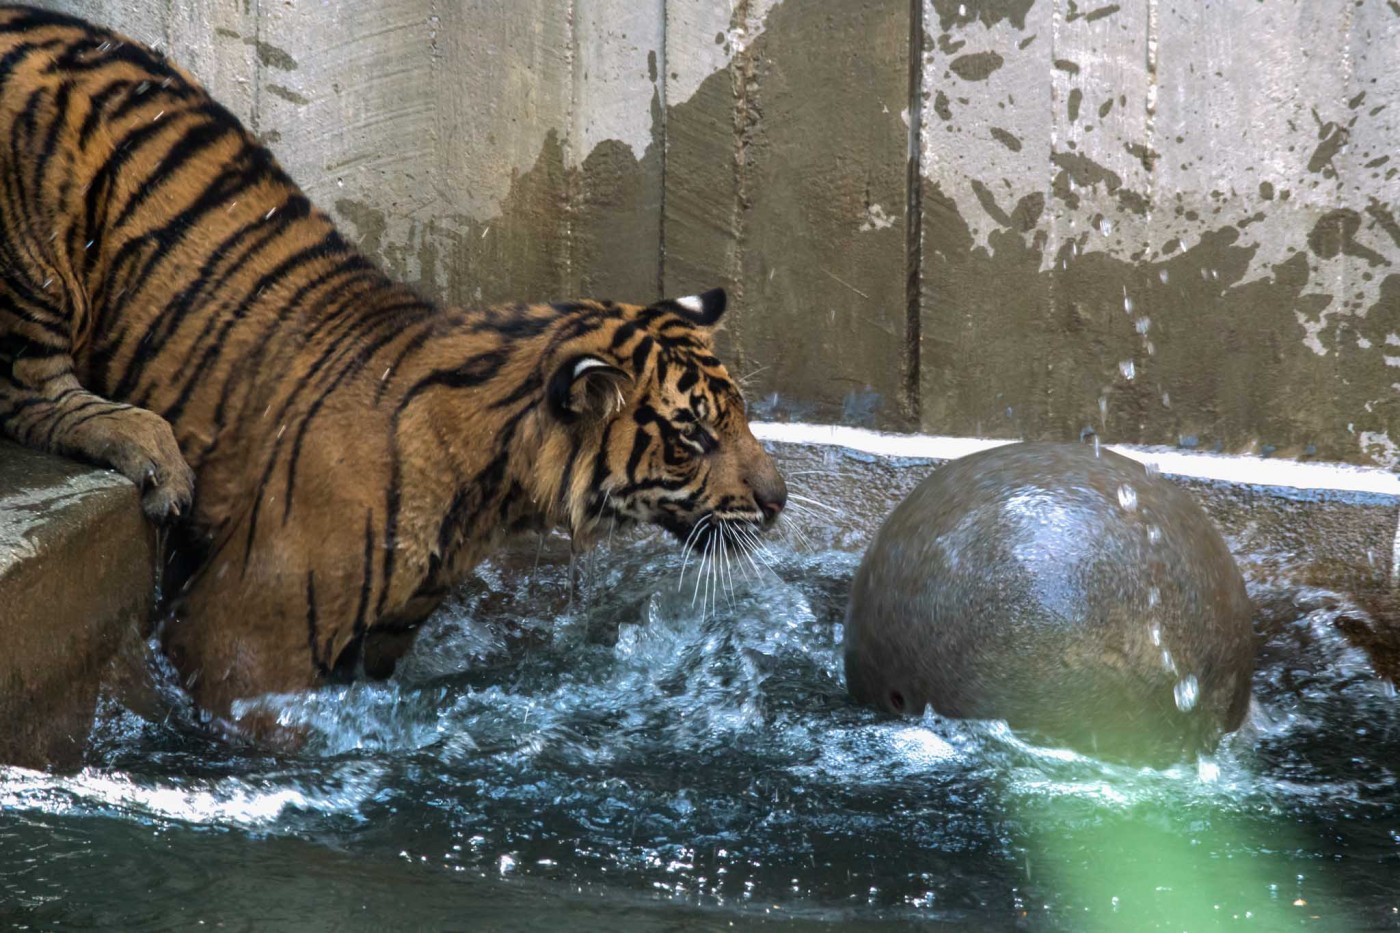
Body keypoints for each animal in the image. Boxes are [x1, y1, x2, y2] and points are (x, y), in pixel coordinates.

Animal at [0, 7, 789, 728]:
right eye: (692, 439)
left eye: (741, 418)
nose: (779, 500)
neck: (496, 491)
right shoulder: (242, 634)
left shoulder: (381, 641)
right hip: (31, 255)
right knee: (30, 394)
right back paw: (149, 449)